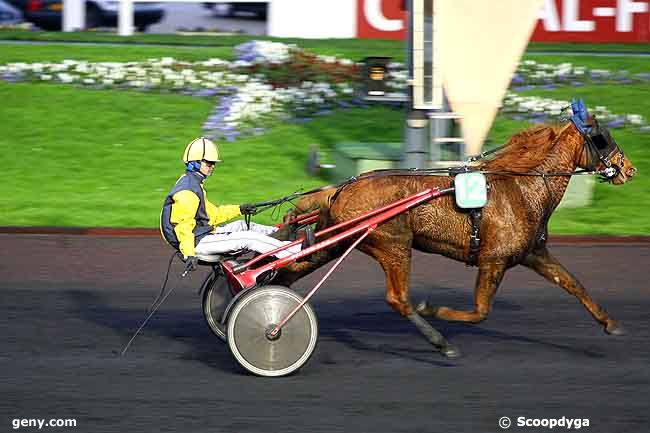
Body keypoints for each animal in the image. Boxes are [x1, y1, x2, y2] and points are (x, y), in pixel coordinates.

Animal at [278, 119, 632, 358]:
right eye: (601, 139)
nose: (629, 169)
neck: (522, 189)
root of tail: (340, 188)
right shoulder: (493, 260)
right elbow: (480, 311)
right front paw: (435, 309)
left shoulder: (533, 253)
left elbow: (573, 283)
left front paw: (610, 323)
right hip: (393, 245)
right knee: (398, 298)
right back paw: (441, 342)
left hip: (338, 240)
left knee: (290, 271)